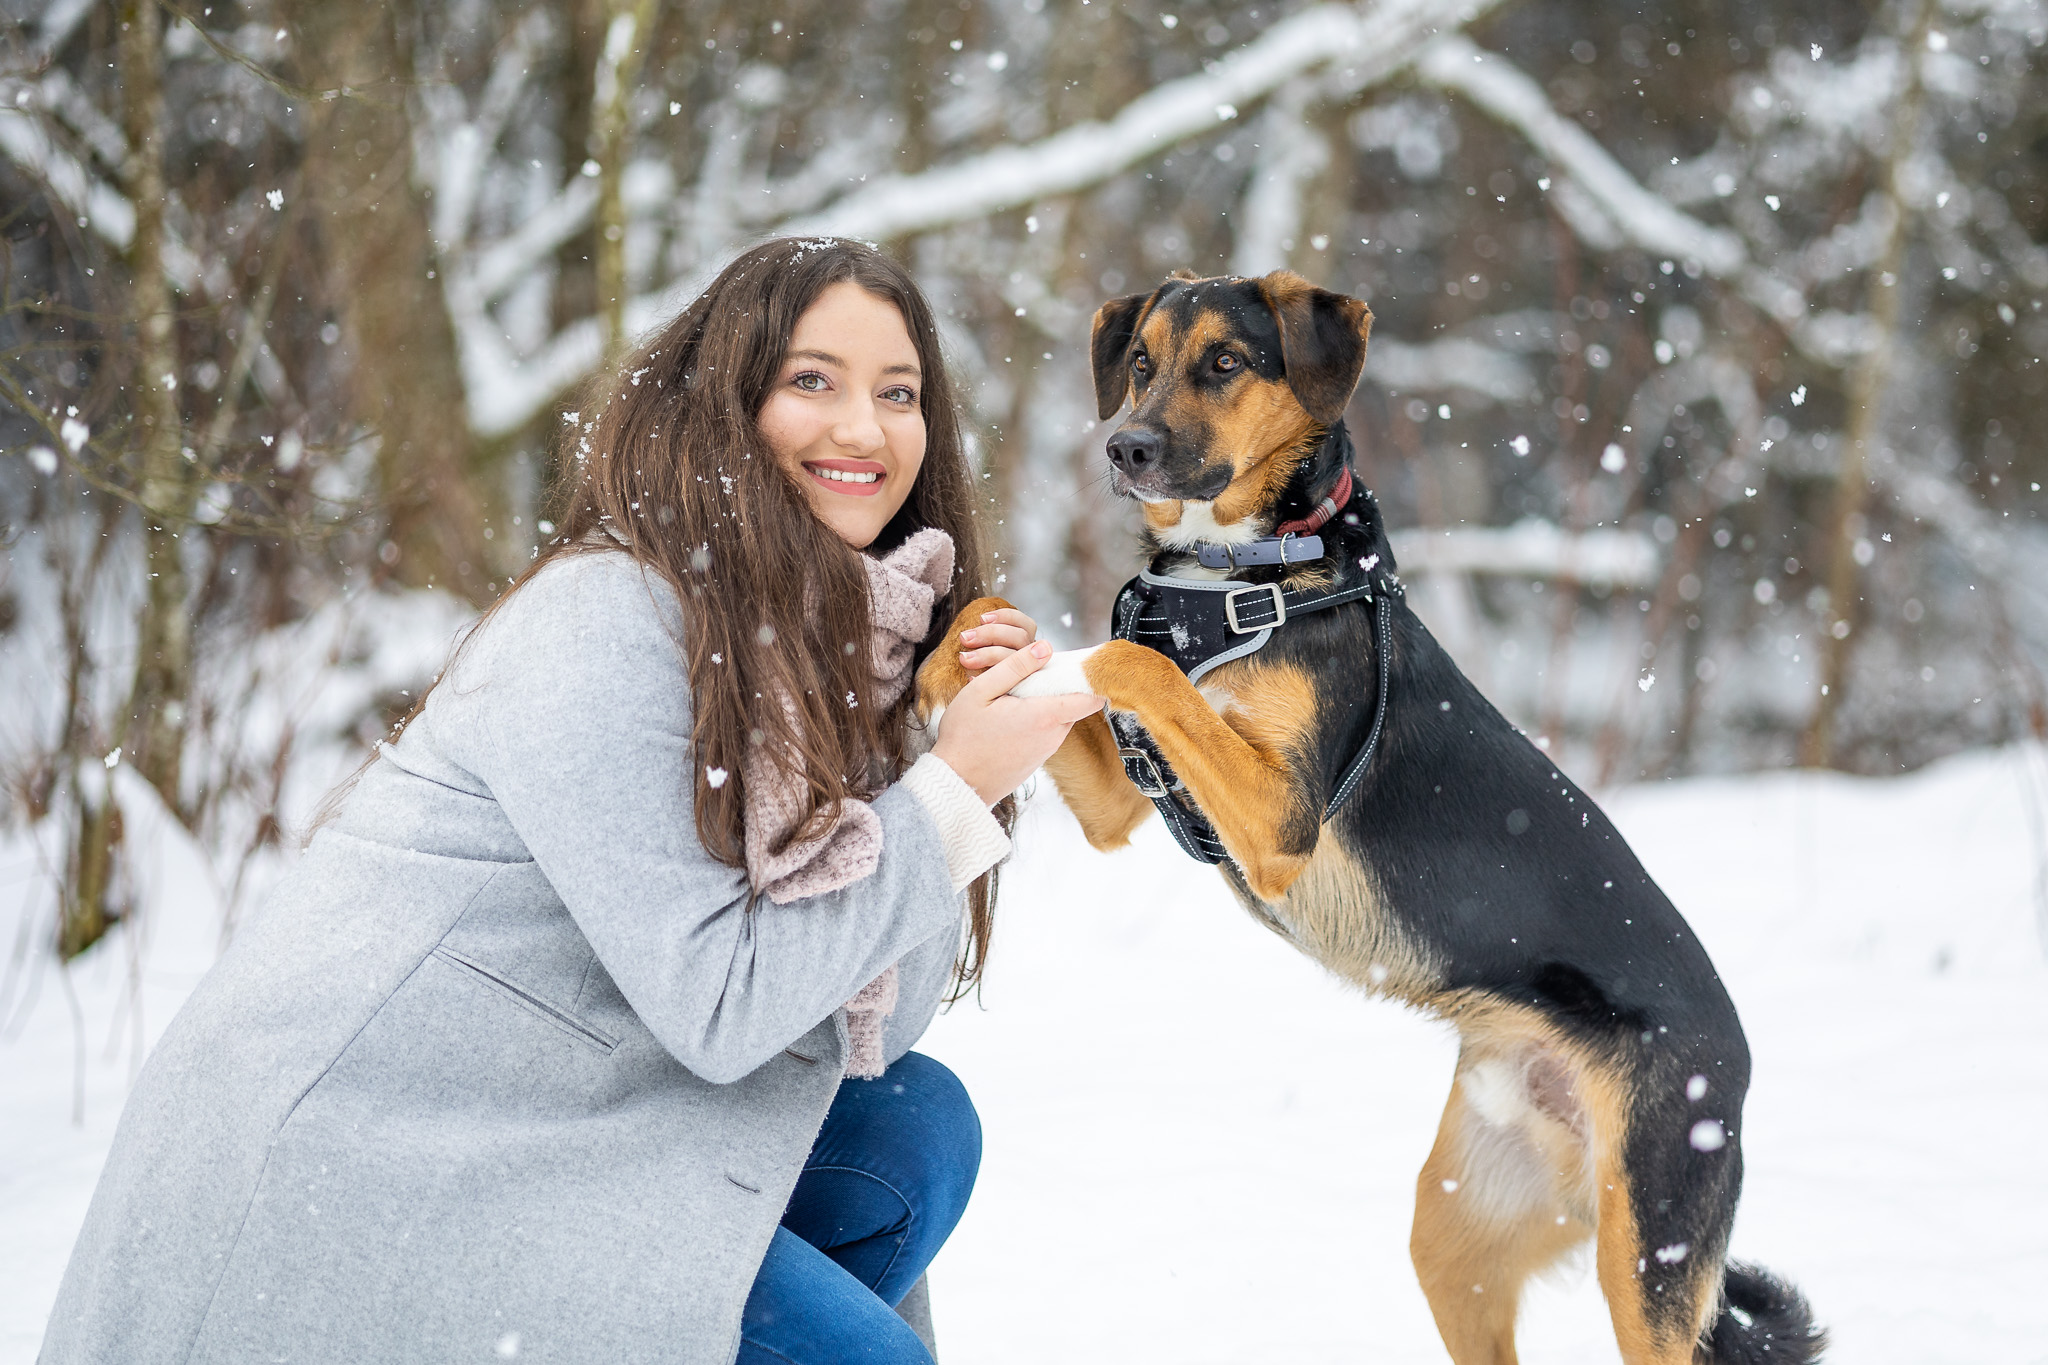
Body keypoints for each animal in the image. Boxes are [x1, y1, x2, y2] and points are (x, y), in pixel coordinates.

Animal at [913, 270, 1826, 1365]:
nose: (1122, 448)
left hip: (1647, 1255)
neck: (1246, 570)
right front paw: (951, 665)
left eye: (1226, 361)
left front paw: (1060, 660)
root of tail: (1733, 1061)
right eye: (1138, 362)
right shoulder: (1122, 804)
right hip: (1456, 1230)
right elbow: (1004, 623)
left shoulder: (1278, 824)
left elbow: (1132, 661)